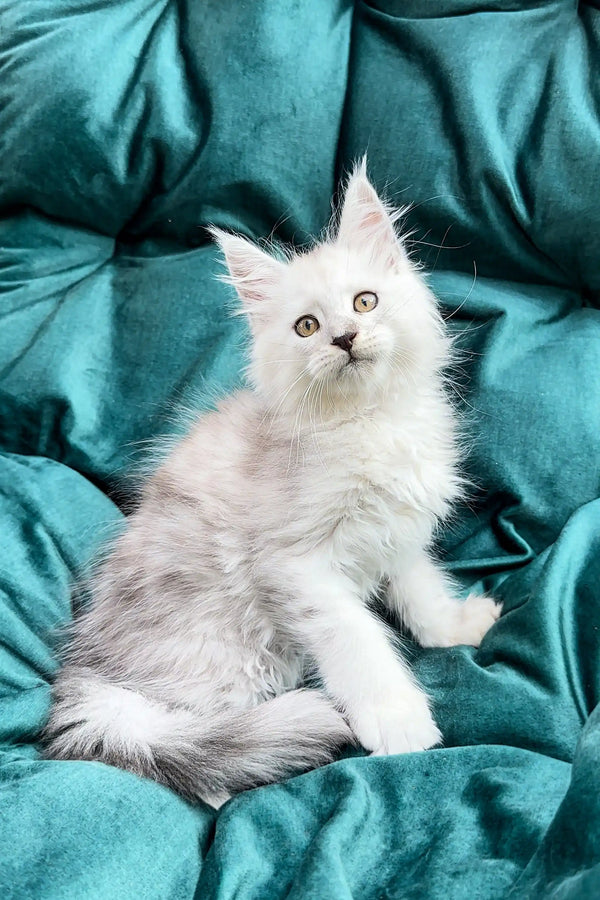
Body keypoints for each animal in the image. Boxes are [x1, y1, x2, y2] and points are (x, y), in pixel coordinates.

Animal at [43, 162, 502, 808]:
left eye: (365, 301)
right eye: (307, 326)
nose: (343, 338)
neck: (366, 425)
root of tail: (91, 673)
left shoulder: (398, 535)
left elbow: (422, 592)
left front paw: (453, 627)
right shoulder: (299, 566)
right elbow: (360, 645)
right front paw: (397, 719)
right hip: (227, 654)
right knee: (188, 744)